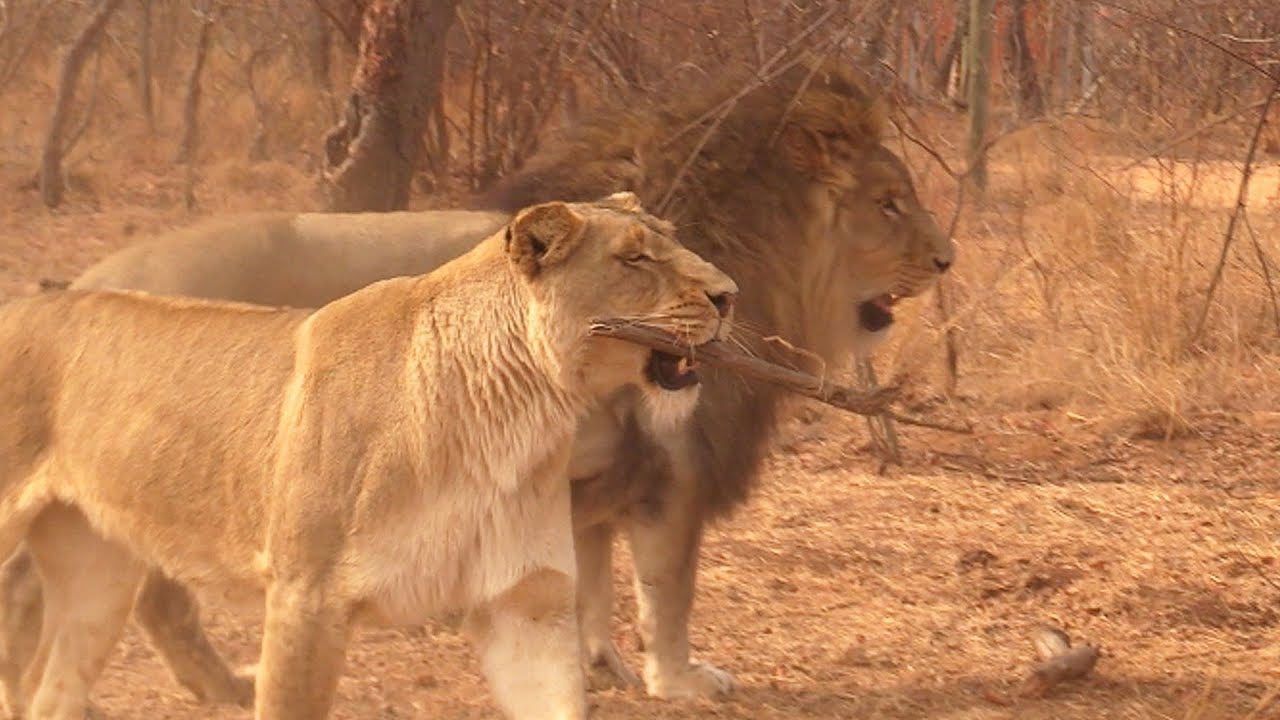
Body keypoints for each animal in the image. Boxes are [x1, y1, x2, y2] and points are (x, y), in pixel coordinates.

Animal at [0, 196, 737, 717]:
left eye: (673, 240)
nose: (729, 295)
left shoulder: (525, 602)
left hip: (97, 578)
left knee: (53, 691)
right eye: (635, 260)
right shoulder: (305, 596)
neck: (516, 413)